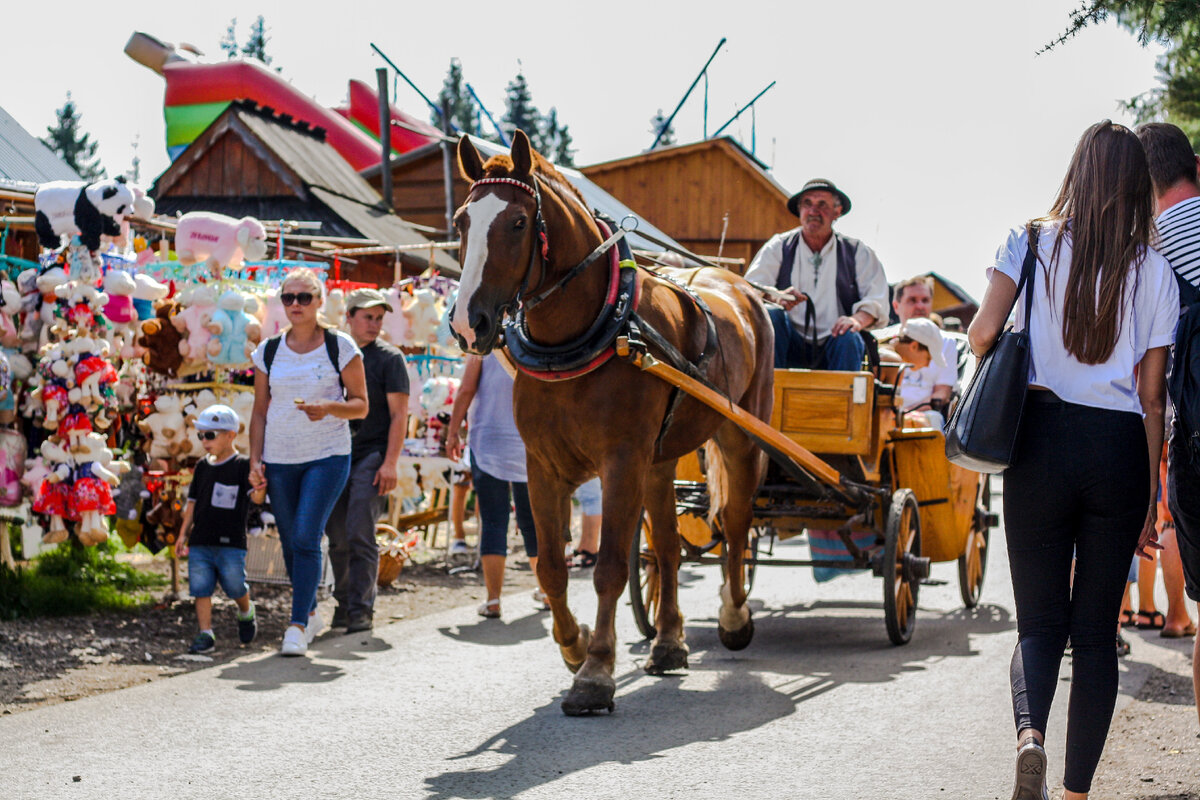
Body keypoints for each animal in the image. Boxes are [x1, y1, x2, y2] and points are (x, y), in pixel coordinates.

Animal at [451, 130, 777, 714]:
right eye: (462, 221)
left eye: (518, 222)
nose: (470, 324)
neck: (587, 332)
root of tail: (737, 285)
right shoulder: (543, 466)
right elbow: (551, 567)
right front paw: (574, 646)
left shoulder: (621, 462)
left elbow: (606, 568)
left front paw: (596, 673)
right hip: (661, 458)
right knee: (666, 546)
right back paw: (668, 641)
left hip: (740, 435)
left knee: (737, 523)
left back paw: (734, 614)